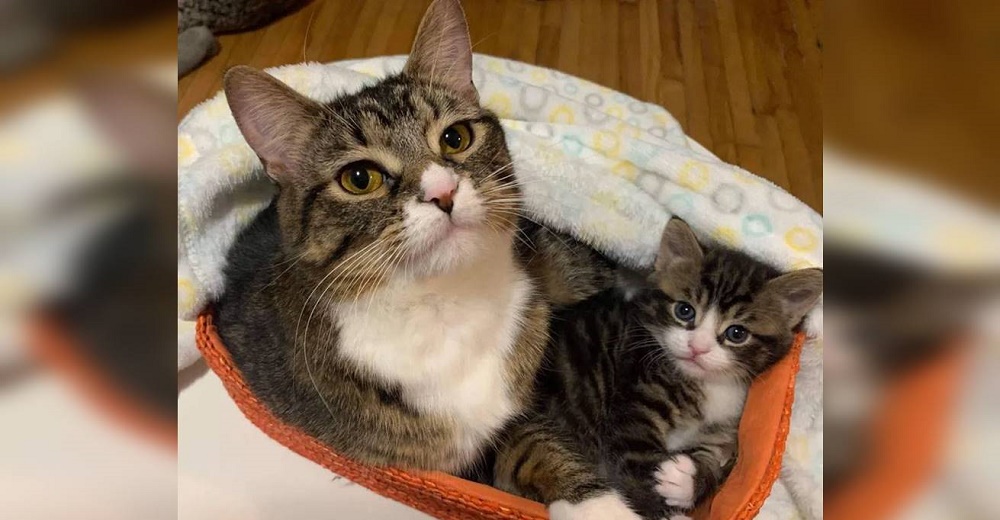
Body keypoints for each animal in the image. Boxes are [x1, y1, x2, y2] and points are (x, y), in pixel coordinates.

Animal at [494, 217, 828, 516]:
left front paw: (692, 480)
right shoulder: (634, 404)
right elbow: (635, 461)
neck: (708, 385)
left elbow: (722, 466)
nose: (698, 347)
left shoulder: (727, 429)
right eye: (684, 311)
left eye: (737, 333)